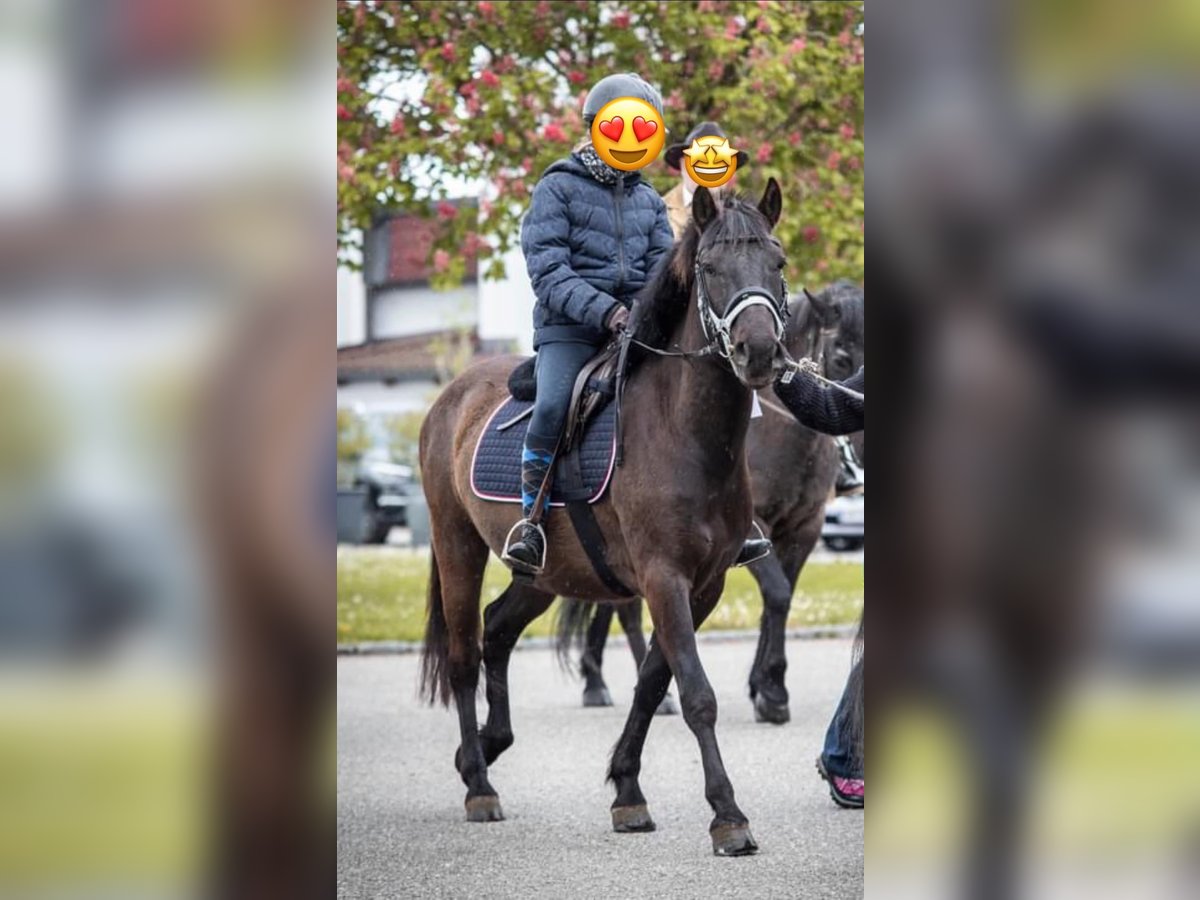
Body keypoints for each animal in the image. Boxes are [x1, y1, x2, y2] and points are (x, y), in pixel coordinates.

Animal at [420, 180, 787, 854]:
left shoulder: (703, 587)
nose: (760, 352)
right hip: (457, 544)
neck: (684, 433)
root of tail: (451, 395)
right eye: (711, 268)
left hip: (543, 574)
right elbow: (696, 695)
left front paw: (628, 792)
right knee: (462, 654)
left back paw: (485, 747)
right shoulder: (664, 578)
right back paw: (479, 784)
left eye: (777, 262)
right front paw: (727, 814)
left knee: (498, 630)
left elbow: (652, 683)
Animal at [561, 282, 864, 724]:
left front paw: (761, 685)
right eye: (841, 356)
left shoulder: (804, 528)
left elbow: (781, 598)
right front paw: (772, 691)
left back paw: (600, 679)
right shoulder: (755, 529)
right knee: (622, 607)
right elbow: (777, 593)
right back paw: (615, 687)